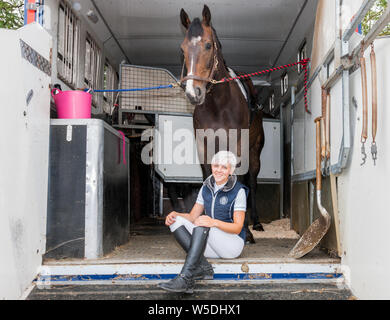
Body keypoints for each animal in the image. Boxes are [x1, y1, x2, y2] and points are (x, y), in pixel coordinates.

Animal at [179, 4, 266, 242]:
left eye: (208, 45)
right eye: (183, 49)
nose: (193, 92)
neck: (219, 104)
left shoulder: (237, 147)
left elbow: (239, 182)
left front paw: (244, 232)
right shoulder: (204, 148)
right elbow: (207, 178)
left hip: (254, 151)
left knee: (251, 181)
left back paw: (256, 223)